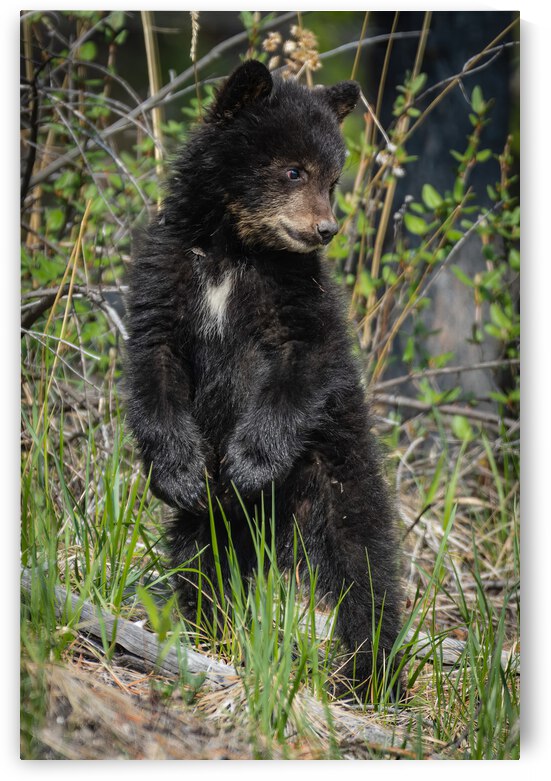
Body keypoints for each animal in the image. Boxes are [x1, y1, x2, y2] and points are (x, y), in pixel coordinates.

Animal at [125, 60, 403, 697]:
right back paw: (209, 631)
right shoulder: (167, 274)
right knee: (201, 555)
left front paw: (252, 460)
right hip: (213, 522)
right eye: (293, 169)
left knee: (364, 563)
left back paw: (369, 669)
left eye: (333, 177)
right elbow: (154, 360)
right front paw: (175, 469)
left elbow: (304, 364)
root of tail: (273, 529)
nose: (325, 228)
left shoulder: (299, 295)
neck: (234, 247)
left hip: (335, 473)